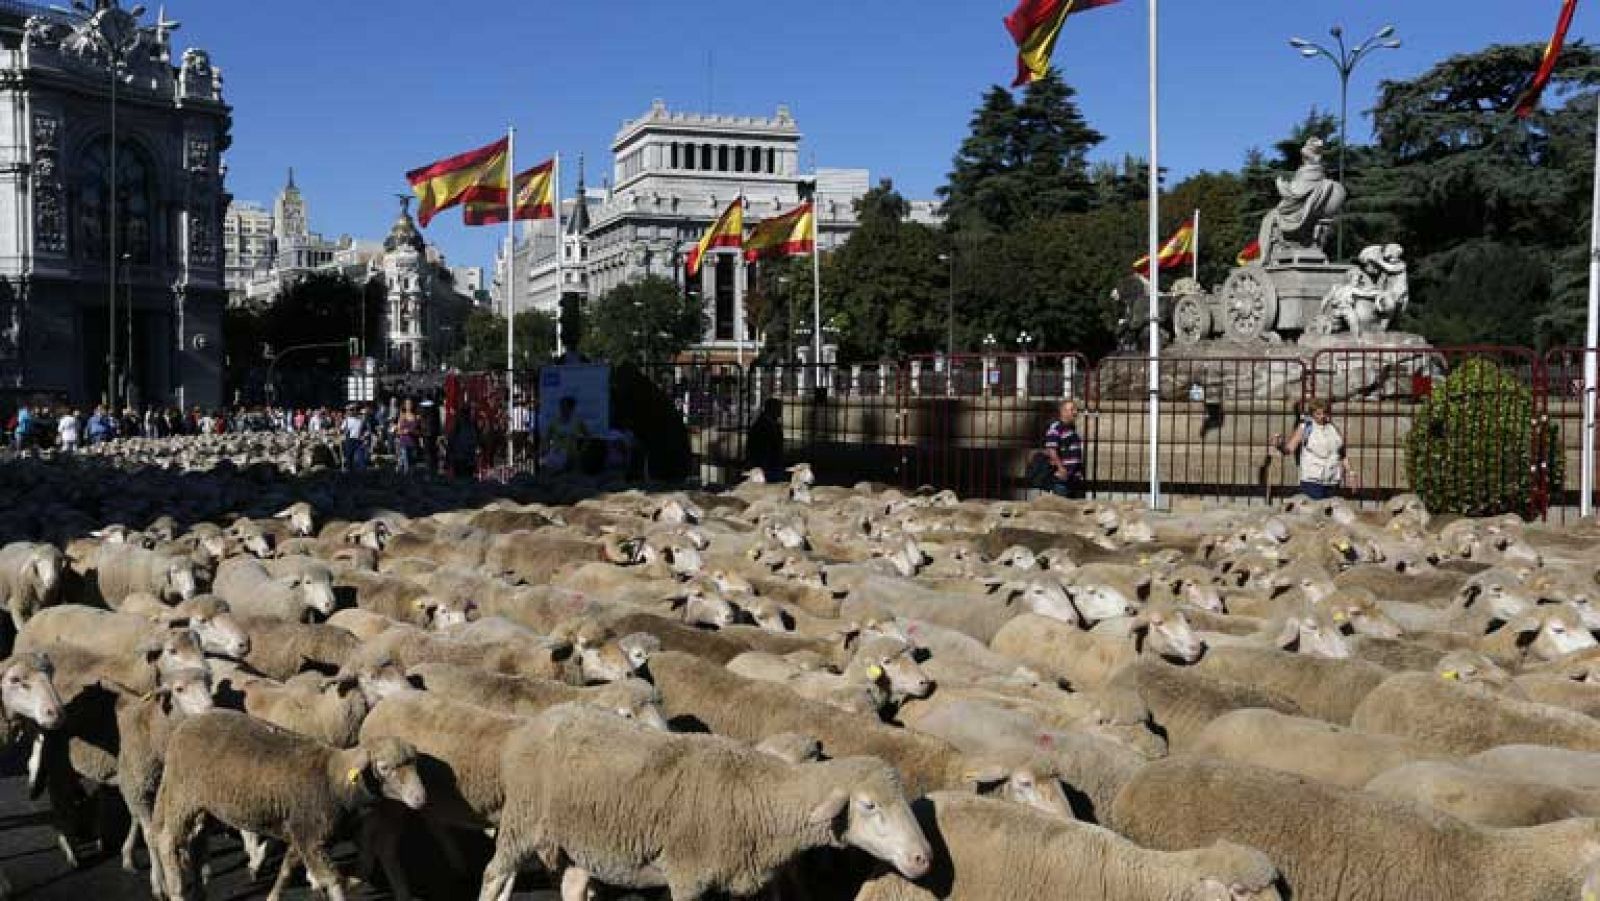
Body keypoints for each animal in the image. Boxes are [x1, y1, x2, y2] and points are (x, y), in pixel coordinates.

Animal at [152, 709, 425, 901]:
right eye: (384, 767)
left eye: (414, 763)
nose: (420, 798)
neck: (334, 781)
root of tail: (184, 726)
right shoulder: (311, 838)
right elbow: (332, 881)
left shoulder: (301, 831)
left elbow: (287, 868)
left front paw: (273, 895)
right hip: (182, 795)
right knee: (166, 840)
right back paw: (176, 891)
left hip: (204, 805)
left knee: (197, 842)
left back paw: (199, 890)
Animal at [478, 702, 932, 901]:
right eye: (870, 805)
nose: (923, 858)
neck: (761, 800)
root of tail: (537, 721)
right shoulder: (687, 875)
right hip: (523, 819)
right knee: (494, 874)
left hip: (578, 836)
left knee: (572, 883)